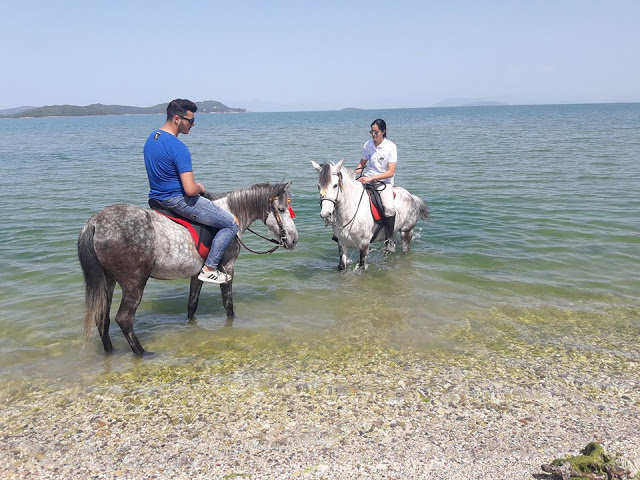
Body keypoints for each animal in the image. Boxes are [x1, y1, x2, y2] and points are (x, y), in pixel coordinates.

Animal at [77, 184, 298, 356]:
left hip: (108, 281)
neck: (231, 214)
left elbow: (192, 305)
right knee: (124, 319)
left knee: (102, 318)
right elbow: (228, 304)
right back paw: (141, 353)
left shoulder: (196, 275)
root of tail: (96, 222)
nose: (294, 239)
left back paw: (110, 352)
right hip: (134, 284)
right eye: (281, 209)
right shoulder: (228, 268)